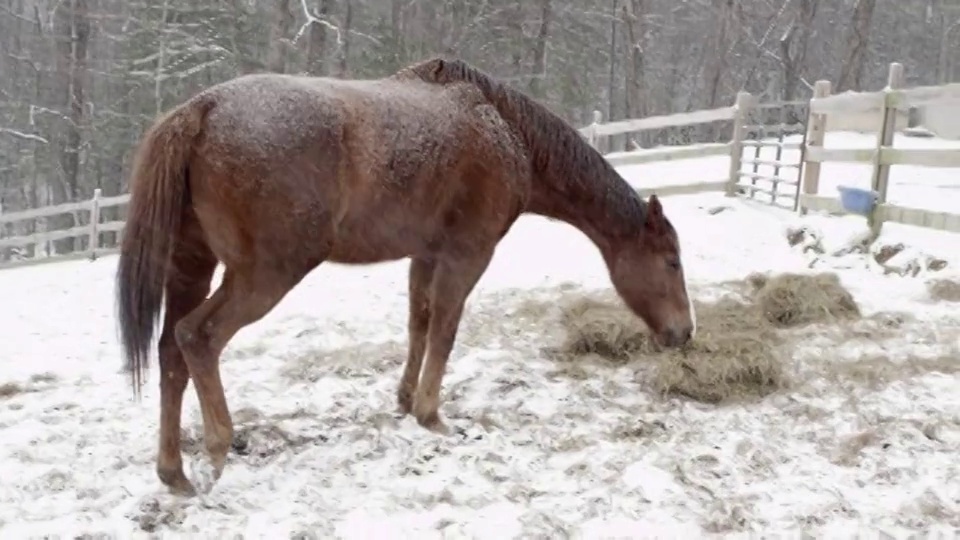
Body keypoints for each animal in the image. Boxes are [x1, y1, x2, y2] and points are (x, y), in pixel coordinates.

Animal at [116, 57, 692, 496]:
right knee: (199, 337)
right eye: (672, 261)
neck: (507, 132)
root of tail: (201, 109)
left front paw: (404, 398)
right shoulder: (467, 254)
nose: (684, 332)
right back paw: (218, 448)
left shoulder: (426, 254)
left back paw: (173, 471)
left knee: (171, 351)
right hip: (265, 276)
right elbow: (445, 330)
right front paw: (432, 415)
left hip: (192, 266)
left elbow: (419, 323)